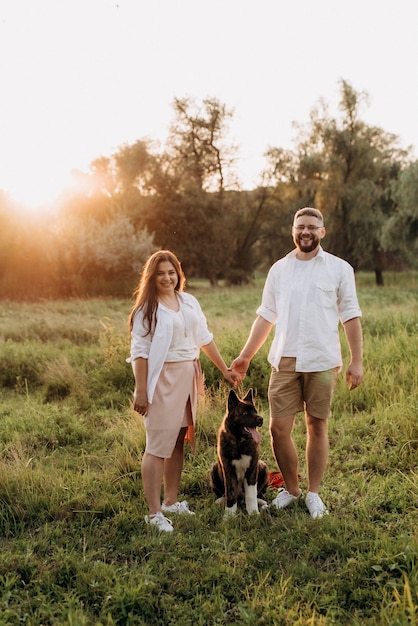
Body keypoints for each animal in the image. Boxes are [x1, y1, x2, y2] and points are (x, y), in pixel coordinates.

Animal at [209, 388, 268, 516]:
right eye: (245, 414)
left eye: (255, 411)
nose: (261, 419)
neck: (239, 442)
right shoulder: (229, 471)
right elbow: (231, 494)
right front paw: (229, 515)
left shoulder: (252, 470)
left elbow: (251, 495)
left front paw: (253, 513)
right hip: (214, 468)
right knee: (224, 494)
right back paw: (221, 500)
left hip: (263, 466)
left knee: (257, 493)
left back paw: (261, 501)